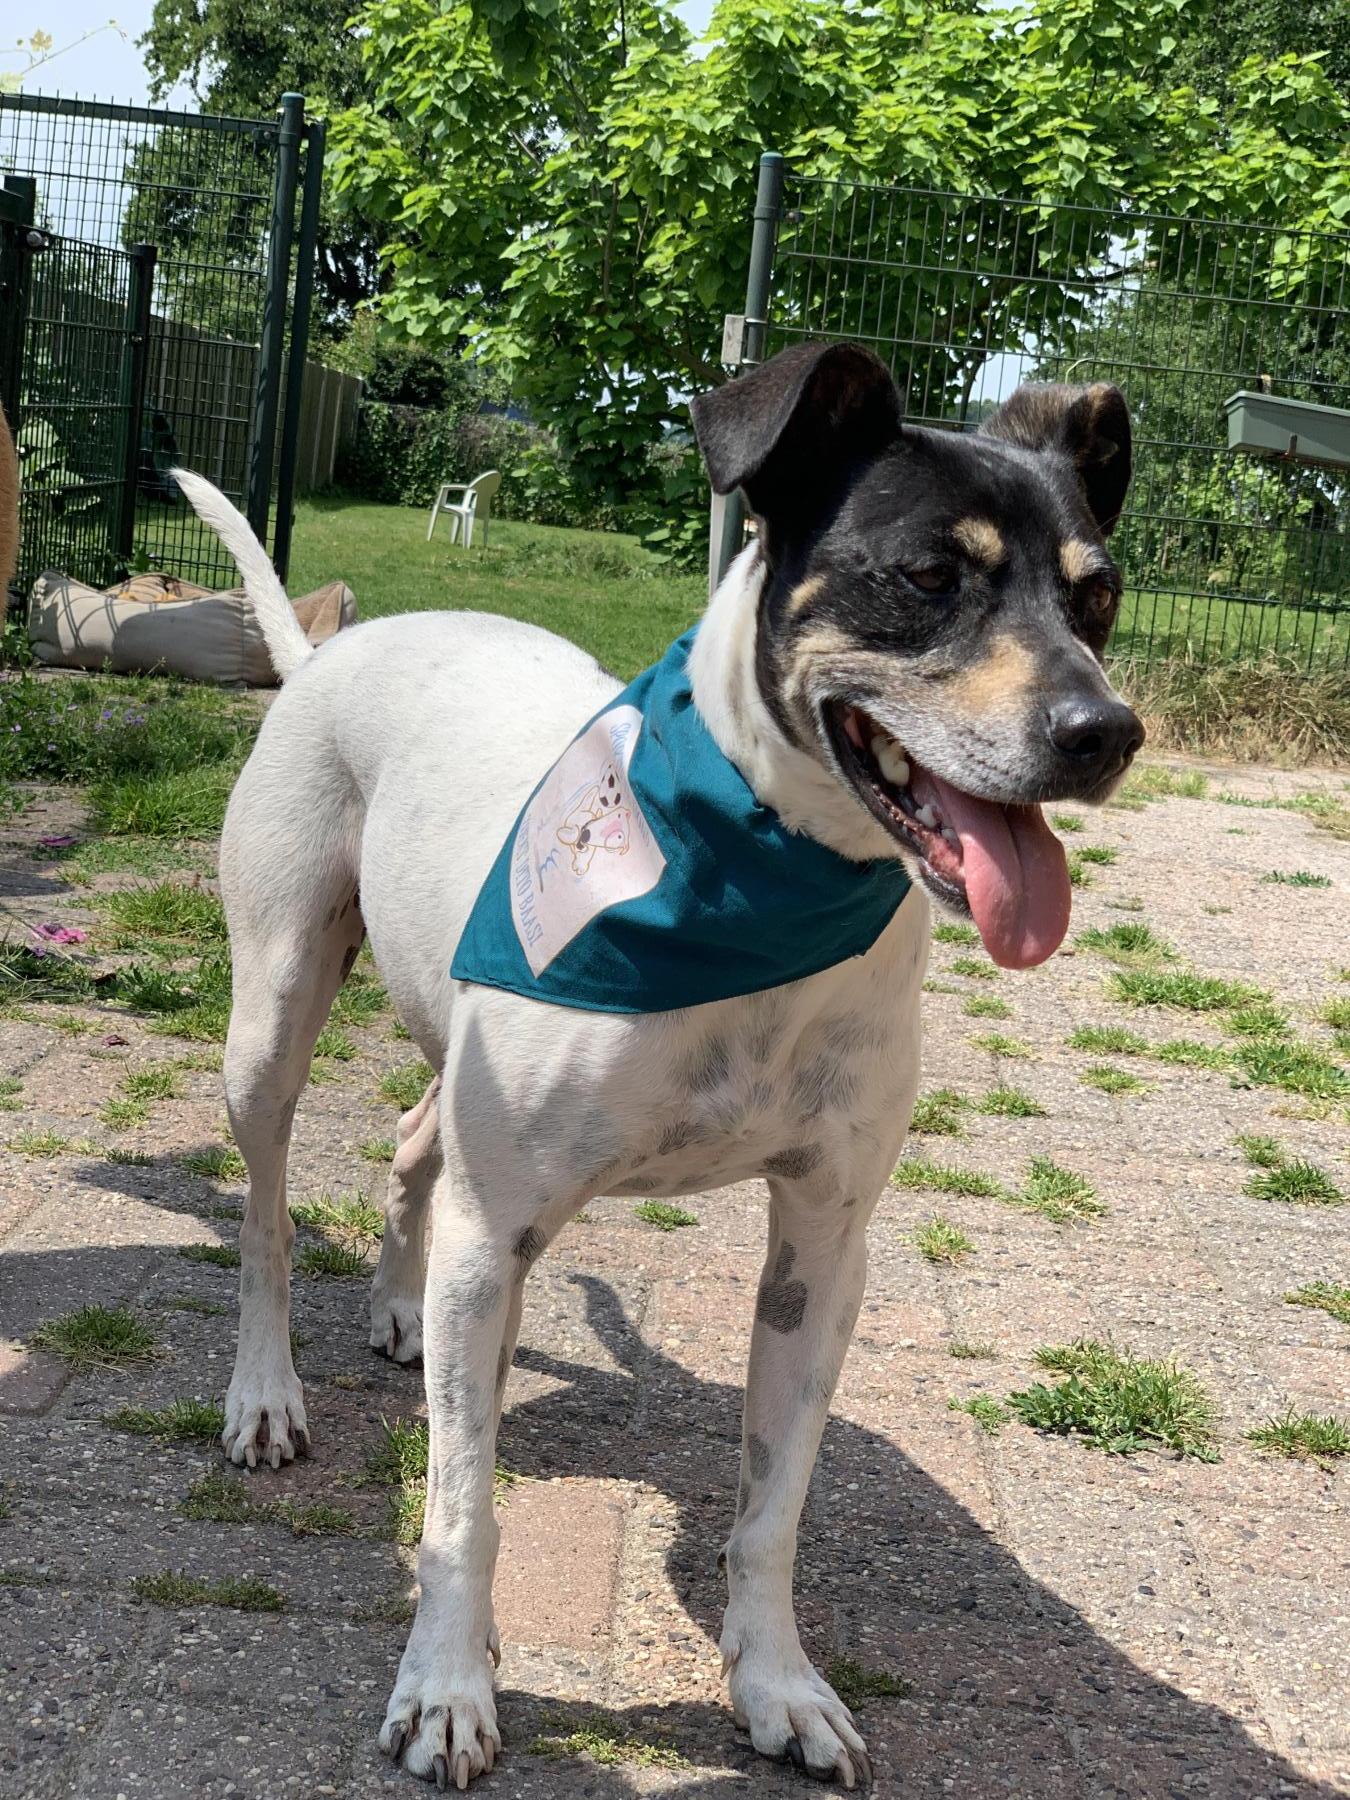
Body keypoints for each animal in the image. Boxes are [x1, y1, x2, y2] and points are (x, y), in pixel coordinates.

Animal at [175, 340, 1143, 1792]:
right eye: (927, 575)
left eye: (1099, 595)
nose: (1104, 733)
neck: (754, 882)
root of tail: (331, 645)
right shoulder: (498, 1230)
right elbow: (463, 1505)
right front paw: (447, 1685)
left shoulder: (823, 1251)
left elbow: (772, 1509)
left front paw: (778, 1684)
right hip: (276, 1012)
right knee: (270, 1222)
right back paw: (265, 1395)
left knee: (414, 1148)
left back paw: (399, 1309)